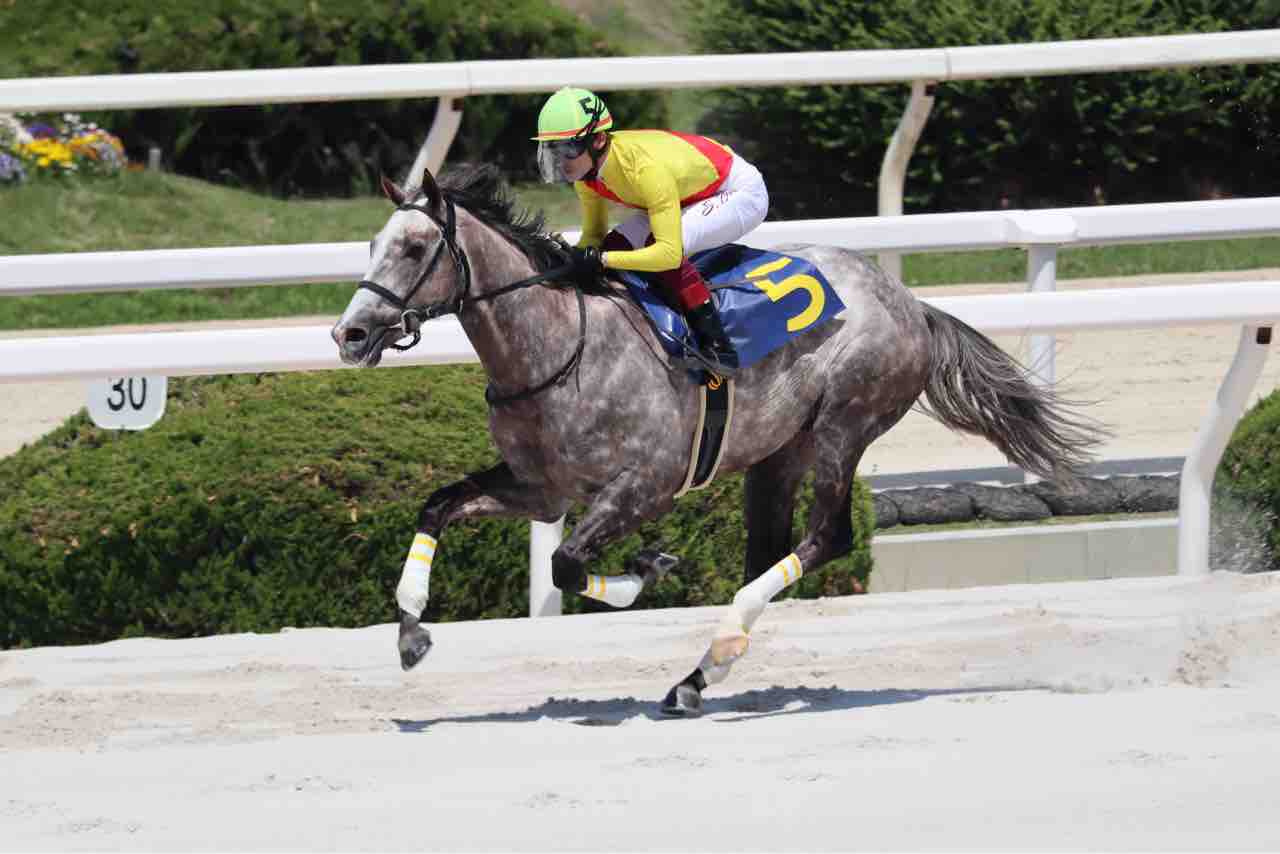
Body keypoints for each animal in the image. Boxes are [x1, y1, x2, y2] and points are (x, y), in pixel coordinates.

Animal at [331, 163, 1102, 716]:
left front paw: (649, 570)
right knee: (769, 551)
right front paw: (411, 630)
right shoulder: (539, 489)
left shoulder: (644, 486)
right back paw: (697, 676)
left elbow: (568, 566)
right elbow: (438, 506)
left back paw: (721, 645)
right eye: (371, 245)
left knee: (828, 538)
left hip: (844, 423)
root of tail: (910, 303)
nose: (350, 333)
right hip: (778, 452)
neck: (557, 347)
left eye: (415, 247)